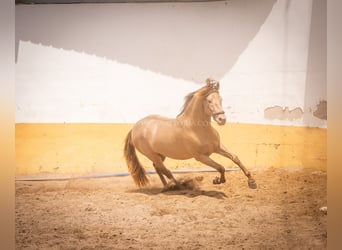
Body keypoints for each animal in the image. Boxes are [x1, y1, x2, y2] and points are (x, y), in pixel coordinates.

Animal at [123, 78, 256, 189]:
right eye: (209, 101)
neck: (197, 129)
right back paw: (179, 186)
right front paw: (217, 180)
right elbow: (220, 167)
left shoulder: (217, 147)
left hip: (160, 154)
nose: (222, 119)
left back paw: (166, 186)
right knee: (165, 170)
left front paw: (252, 181)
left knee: (158, 168)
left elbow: (235, 158)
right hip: (152, 154)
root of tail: (135, 127)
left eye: (221, 99)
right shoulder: (200, 156)